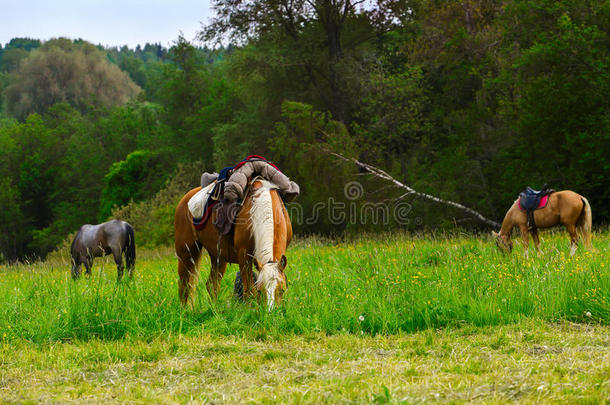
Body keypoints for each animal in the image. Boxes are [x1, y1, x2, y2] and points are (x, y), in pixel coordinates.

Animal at [173, 178, 292, 308]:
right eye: (261, 290)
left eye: (282, 290)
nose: (270, 311)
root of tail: (185, 199)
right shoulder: (244, 256)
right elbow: (249, 290)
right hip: (186, 253)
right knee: (184, 286)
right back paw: (186, 310)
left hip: (217, 257)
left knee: (212, 285)